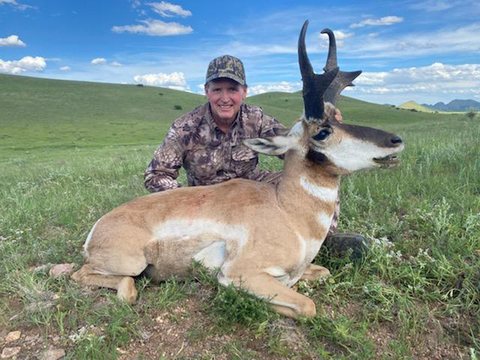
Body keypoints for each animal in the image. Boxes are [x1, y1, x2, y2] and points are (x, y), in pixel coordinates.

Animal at [70, 21, 402, 318]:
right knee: (93, 277)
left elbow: (322, 273)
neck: (287, 211)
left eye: (338, 118)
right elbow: (307, 306)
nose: (396, 140)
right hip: (130, 263)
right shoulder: (241, 272)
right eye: (322, 132)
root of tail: (97, 229)